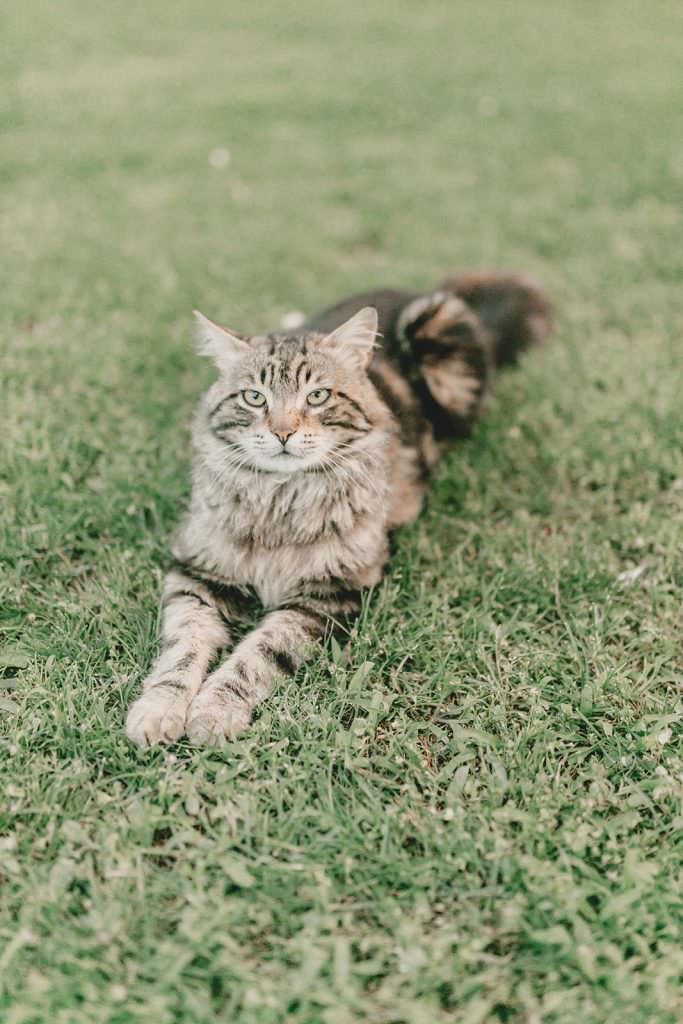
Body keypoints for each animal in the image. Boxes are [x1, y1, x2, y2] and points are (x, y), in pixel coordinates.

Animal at [125, 272, 552, 749]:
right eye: (254, 397)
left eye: (317, 396)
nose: (283, 433)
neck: (279, 503)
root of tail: (423, 290)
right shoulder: (198, 574)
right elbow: (182, 652)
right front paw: (159, 710)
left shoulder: (324, 595)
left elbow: (254, 656)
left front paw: (215, 710)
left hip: (437, 335)